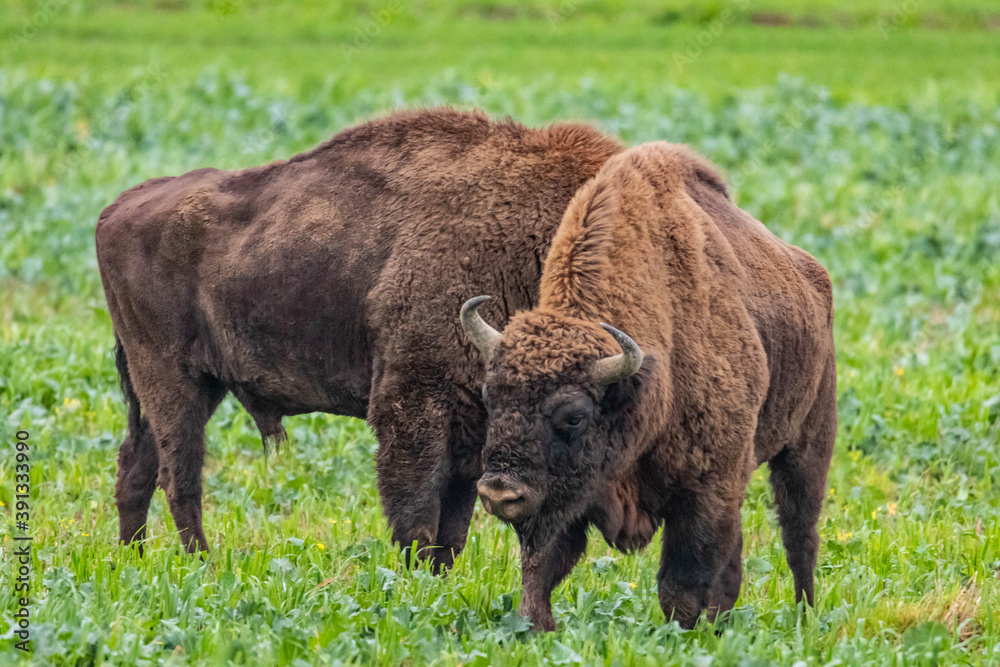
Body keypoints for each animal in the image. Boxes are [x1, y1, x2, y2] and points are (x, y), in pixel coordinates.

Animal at [96, 108, 623, 569]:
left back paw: (133, 560)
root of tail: (115, 209)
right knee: (179, 476)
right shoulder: (414, 405)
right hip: (171, 378)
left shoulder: (470, 421)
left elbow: (452, 529)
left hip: (190, 385)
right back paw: (201, 565)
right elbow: (417, 517)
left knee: (137, 465)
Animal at [461, 142, 836, 630]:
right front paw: (534, 625)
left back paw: (805, 616)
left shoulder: (705, 490)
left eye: (574, 416)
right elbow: (542, 565)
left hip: (808, 443)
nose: (498, 493)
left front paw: (681, 631)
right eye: (490, 398)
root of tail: (812, 275)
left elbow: (682, 581)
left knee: (799, 533)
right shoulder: (568, 498)